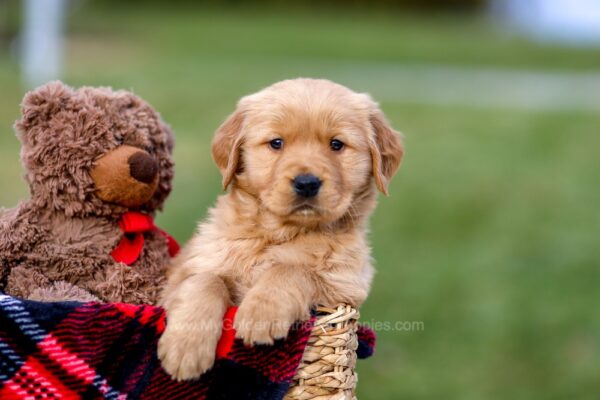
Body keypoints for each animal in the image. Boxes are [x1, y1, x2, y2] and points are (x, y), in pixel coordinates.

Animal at [158, 77, 404, 378]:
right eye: (276, 143)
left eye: (336, 144)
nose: (307, 183)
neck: (280, 233)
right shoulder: (182, 275)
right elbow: (205, 280)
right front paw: (185, 348)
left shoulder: (344, 285)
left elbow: (292, 269)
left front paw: (261, 312)